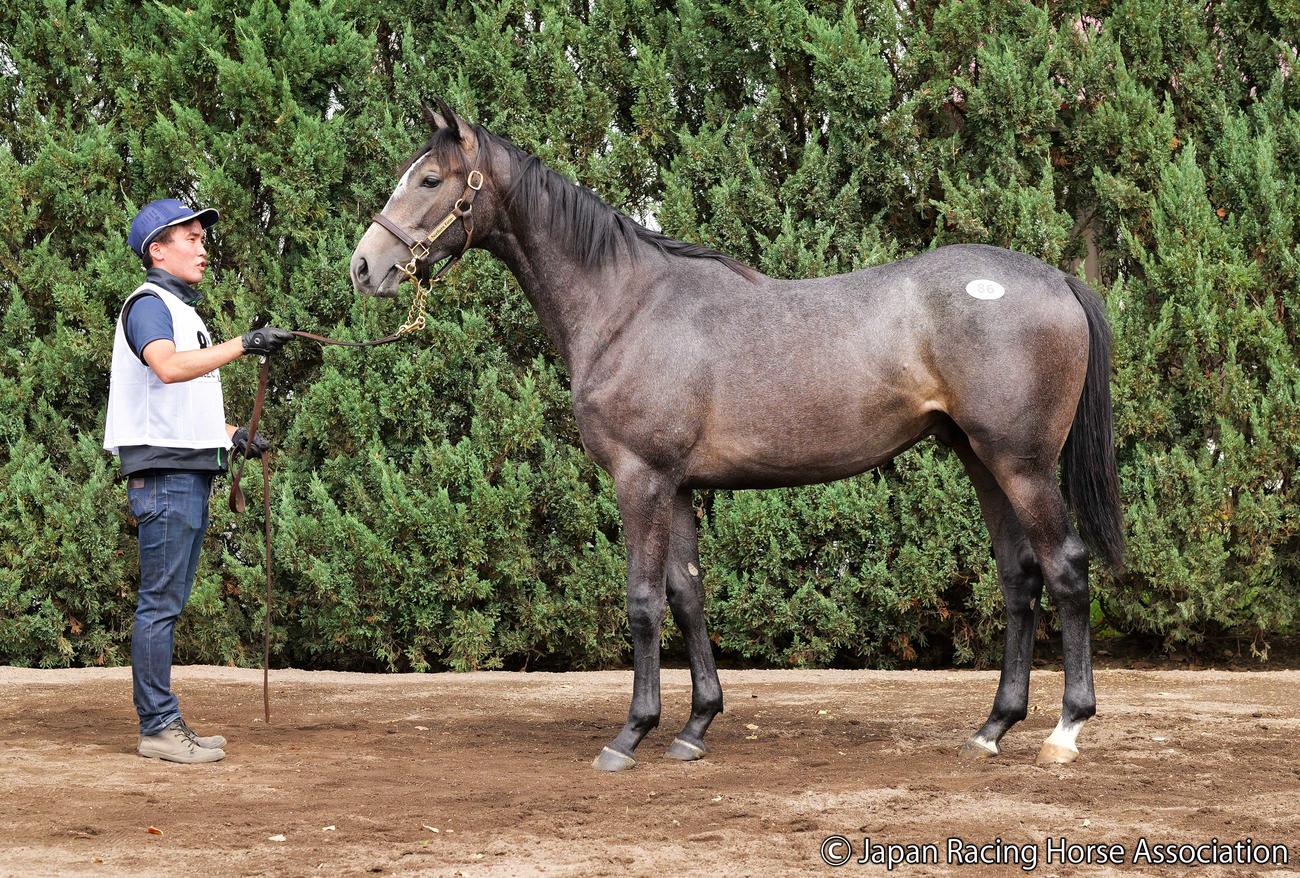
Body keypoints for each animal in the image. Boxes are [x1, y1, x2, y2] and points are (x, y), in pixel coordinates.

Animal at [348, 101, 1124, 772]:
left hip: (1022, 464)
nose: (364, 267)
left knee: (1065, 567)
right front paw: (695, 727)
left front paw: (630, 734)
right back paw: (992, 727)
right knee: (1019, 576)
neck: (626, 306)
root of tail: (1056, 279)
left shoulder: (640, 478)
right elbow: (688, 596)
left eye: (430, 179)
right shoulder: (679, 486)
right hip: (980, 460)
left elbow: (642, 601)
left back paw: (1064, 730)